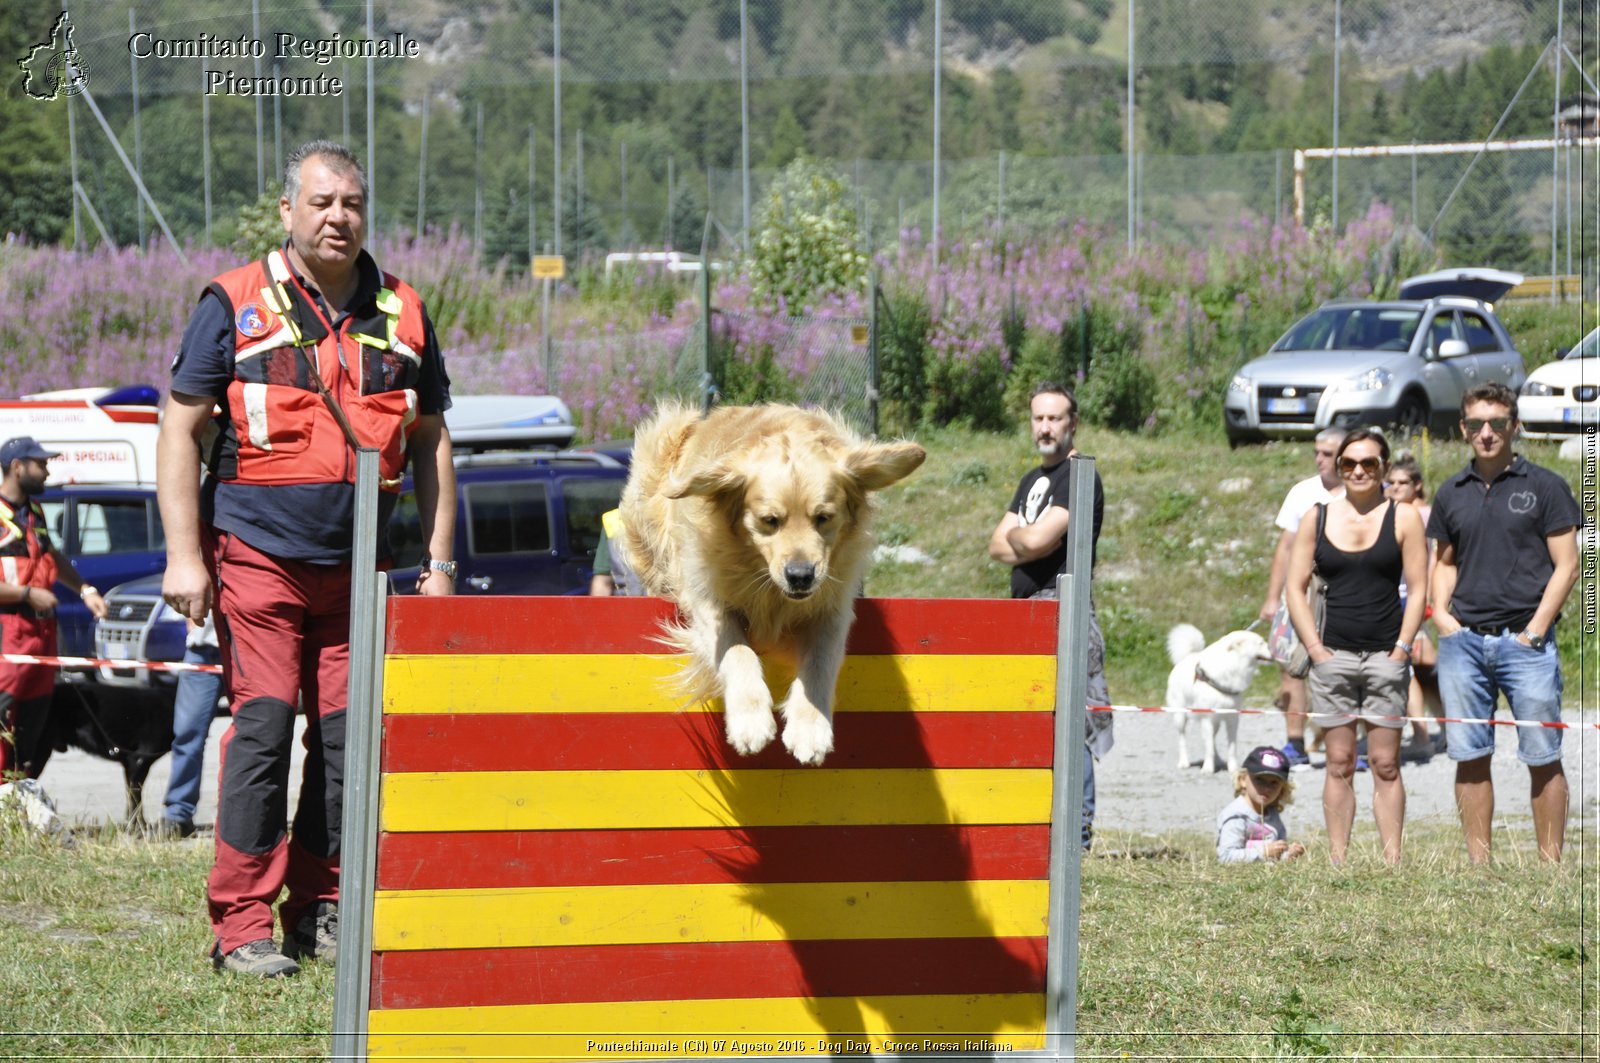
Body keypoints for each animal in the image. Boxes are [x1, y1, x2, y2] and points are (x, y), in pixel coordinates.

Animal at [620, 400, 934, 765]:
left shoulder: (832, 607)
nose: (800, 576)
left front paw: (810, 728)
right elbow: (737, 651)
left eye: (823, 518)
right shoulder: (708, 599)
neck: (767, 585)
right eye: (769, 521)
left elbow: (820, 662)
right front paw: (750, 721)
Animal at [1171, 624, 1267, 771]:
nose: (1272, 649)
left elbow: (1231, 747)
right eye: (1261, 643)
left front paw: (1233, 768)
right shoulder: (1207, 718)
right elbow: (1208, 746)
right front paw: (1207, 769)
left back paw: (1218, 760)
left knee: (1212, 740)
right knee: (1183, 738)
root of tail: (1187, 657)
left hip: (1215, 722)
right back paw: (1184, 762)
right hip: (1180, 716)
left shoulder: (1232, 718)